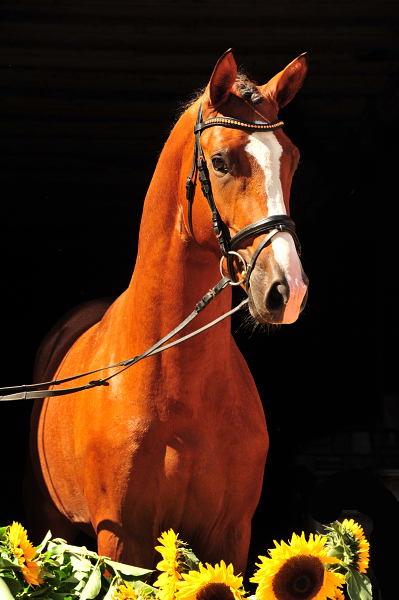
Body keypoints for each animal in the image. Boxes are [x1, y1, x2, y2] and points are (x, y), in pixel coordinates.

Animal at [25, 49, 310, 576]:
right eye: (219, 162)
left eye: (292, 158)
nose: (289, 289)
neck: (179, 389)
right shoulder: (122, 541)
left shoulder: (229, 537)